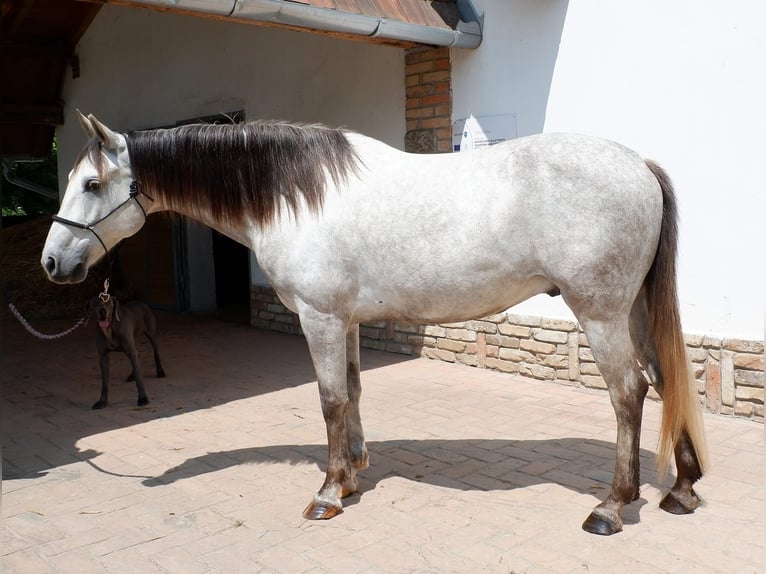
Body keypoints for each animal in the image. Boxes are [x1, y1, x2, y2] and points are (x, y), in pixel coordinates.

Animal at [41, 111, 707, 536]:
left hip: (600, 312)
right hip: (633, 310)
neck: (294, 197)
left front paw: (327, 493)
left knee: (629, 392)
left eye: (92, 183)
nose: (53, 262)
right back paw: (681, 488)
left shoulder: (320, 318)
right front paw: (353, 476)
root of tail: (639, 165)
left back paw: (612, 507)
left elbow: (331, 399)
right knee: (664, 379)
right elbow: (355, 390)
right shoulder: (348, 321)